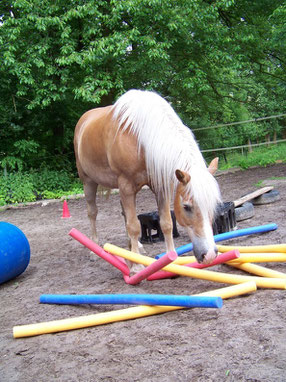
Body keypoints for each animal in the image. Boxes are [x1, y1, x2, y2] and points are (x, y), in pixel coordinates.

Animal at [73, 89, 221, 272]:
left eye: (214, 205)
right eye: (187, 207)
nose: (210, 255)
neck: (140, 138)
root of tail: (84, 120)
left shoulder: (161, 187)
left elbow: (166, 223)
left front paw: (169, 259)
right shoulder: (126, 186)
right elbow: (134, 226)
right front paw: (136, 266)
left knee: (125, 215)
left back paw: (135, 247)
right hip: (89, 182)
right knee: (93, 213)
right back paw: (95, 250)